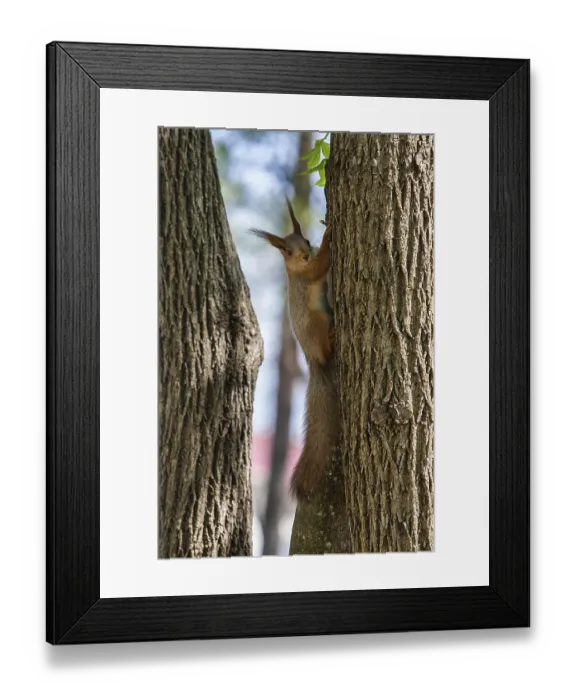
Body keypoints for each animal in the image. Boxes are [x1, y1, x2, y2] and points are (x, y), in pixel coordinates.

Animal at [250, 198, 339, 501]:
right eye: (287, 251)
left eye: (306, 241)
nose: (305, 256)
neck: (295, 269)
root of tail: (313, 361)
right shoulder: (308, 274)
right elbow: (322, 265)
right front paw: (329, 236)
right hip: (316, 322)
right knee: (326, 347)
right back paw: (332, 337)